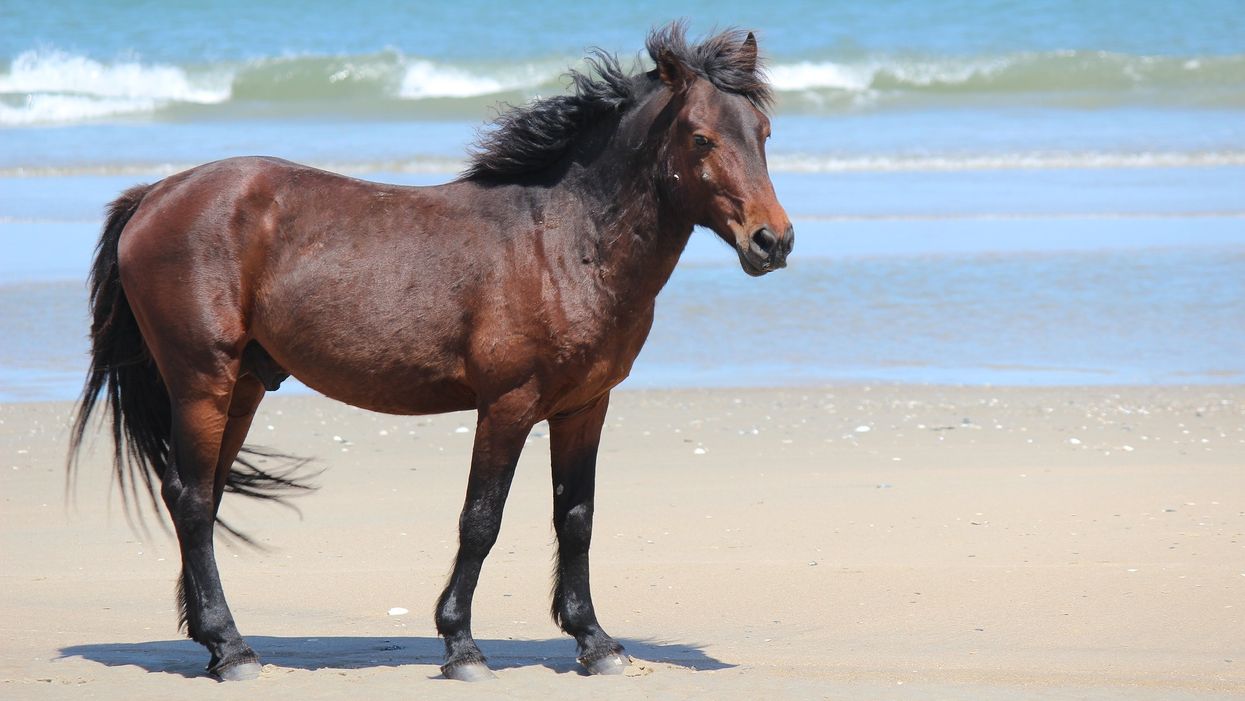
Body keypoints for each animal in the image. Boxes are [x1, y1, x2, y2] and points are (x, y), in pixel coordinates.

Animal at [68, 24, 791, 682]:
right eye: (700, 137)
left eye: (762, 131)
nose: (773, 241)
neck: (561, 239)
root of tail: (154, 195)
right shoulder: (507, 406)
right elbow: (481, 521)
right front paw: (462, 646)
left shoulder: (584, 407)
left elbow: (575, 518)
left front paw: (595, 641)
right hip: (202, 381)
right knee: (191, 499)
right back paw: (232, 649)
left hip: (241, 386)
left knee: (206, 496)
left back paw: (210, 638)